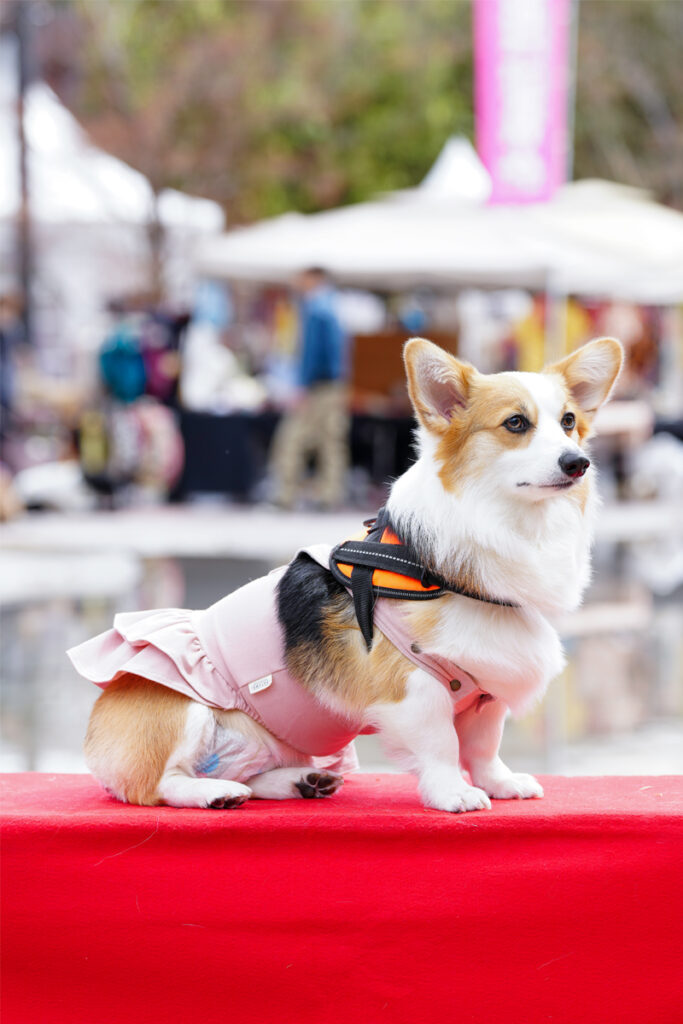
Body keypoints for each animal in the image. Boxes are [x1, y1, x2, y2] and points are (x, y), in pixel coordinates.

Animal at [69, 336, 623, 813]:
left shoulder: (486, 693)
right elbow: (443, 745)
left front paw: (501, 783)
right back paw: (214, 793)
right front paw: (453, 794)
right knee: (160, 784)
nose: (578, 463)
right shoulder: (416, 689)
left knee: (250, 772)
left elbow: (485, 748)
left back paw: (299, 780)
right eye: (515, 424)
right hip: (185, 711)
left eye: (569, 421)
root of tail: (95, 730)